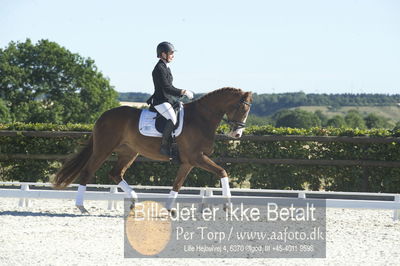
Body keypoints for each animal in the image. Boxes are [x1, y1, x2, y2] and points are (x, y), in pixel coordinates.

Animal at [53, 87, 253, 212]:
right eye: (242, 108)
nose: (237, 134)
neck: (201, 118)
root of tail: (103, 116)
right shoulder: (196, 157)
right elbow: (222, 171)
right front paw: (228, 206)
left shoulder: (188, 162)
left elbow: (177, 184)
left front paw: (168, 209)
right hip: (103, 149)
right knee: (88, 171)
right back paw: (81, 206)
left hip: (129, 152)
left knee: (116, 173)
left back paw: (134, 200)